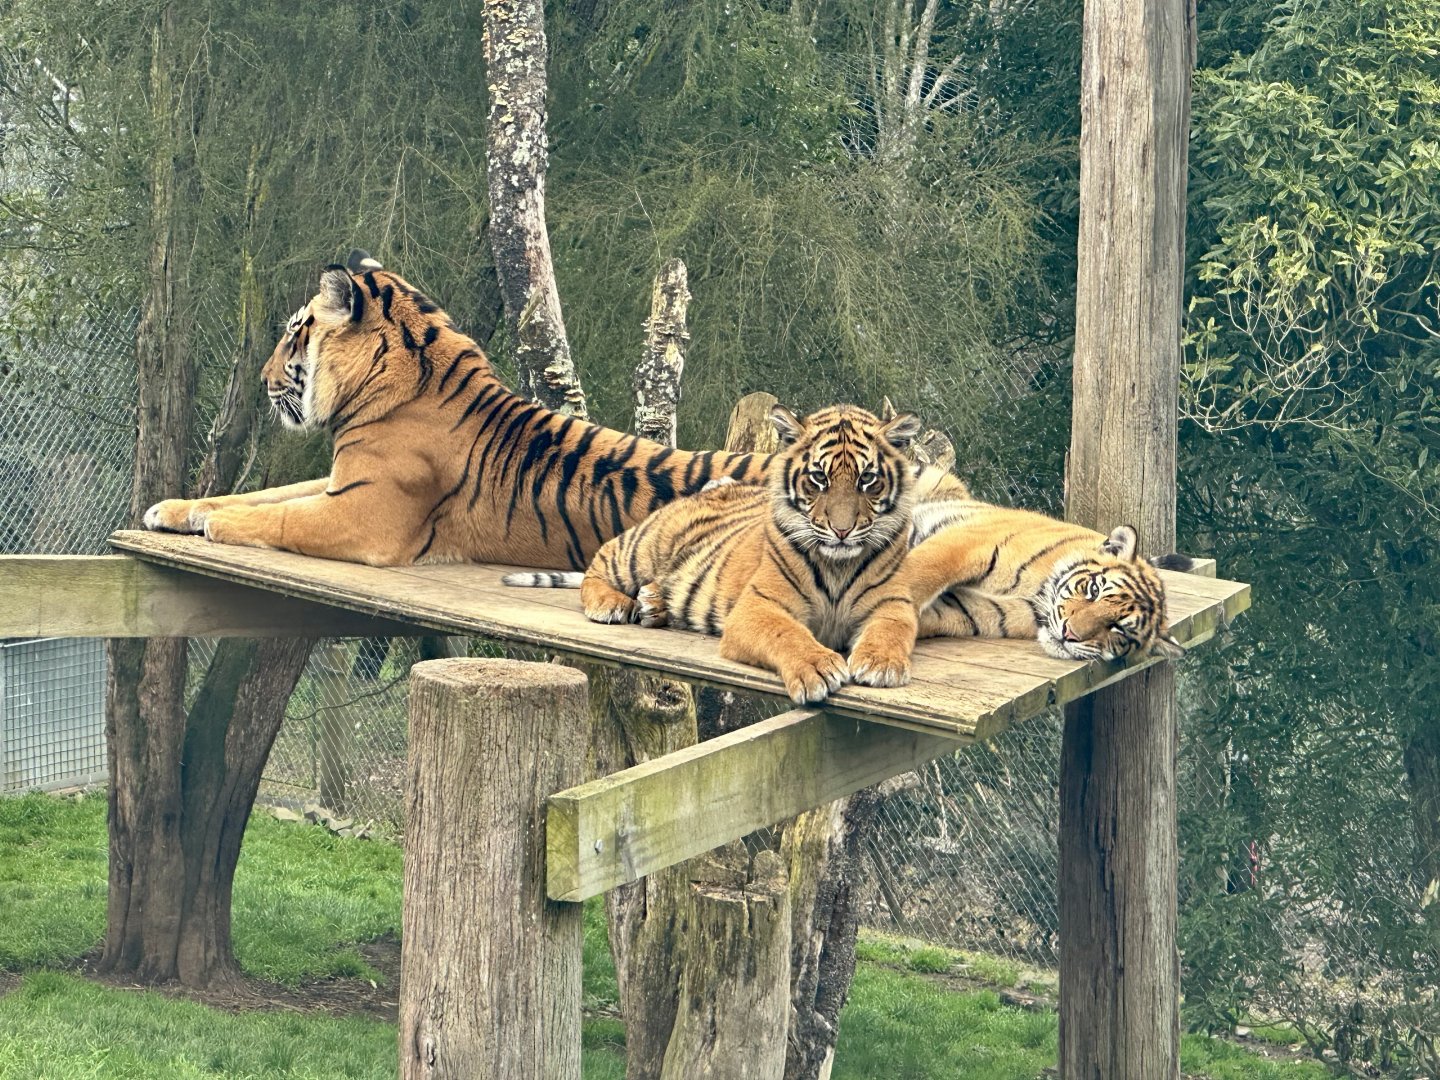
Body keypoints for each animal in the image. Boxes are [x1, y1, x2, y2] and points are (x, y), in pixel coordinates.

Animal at [142, 250, 772, 568]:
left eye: (296, 332)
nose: (261, 378)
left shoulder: (362, 512)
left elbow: (279, 514)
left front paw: (215, 525)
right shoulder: (341, 483)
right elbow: (263, 494)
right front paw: (174, 509)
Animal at [505, 403, 924, 703]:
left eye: (867, 479)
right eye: (818, 478)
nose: (842, 530)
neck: (837, 564)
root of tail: (713, 487)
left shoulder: (892, 603)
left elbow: (892, 629)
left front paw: (881, 663)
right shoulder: (757, 606)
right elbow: (786, 633)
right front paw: (818, 668)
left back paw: (654, 602)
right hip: (642, 546)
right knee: (598, 564)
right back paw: (613, 603)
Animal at [899, 495, 1188, 662]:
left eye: (1119, 629)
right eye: (1094, 590)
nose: (1068, 635)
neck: (1038, 592)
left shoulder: (982, 610)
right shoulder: (968, 543)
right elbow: (918, 574)